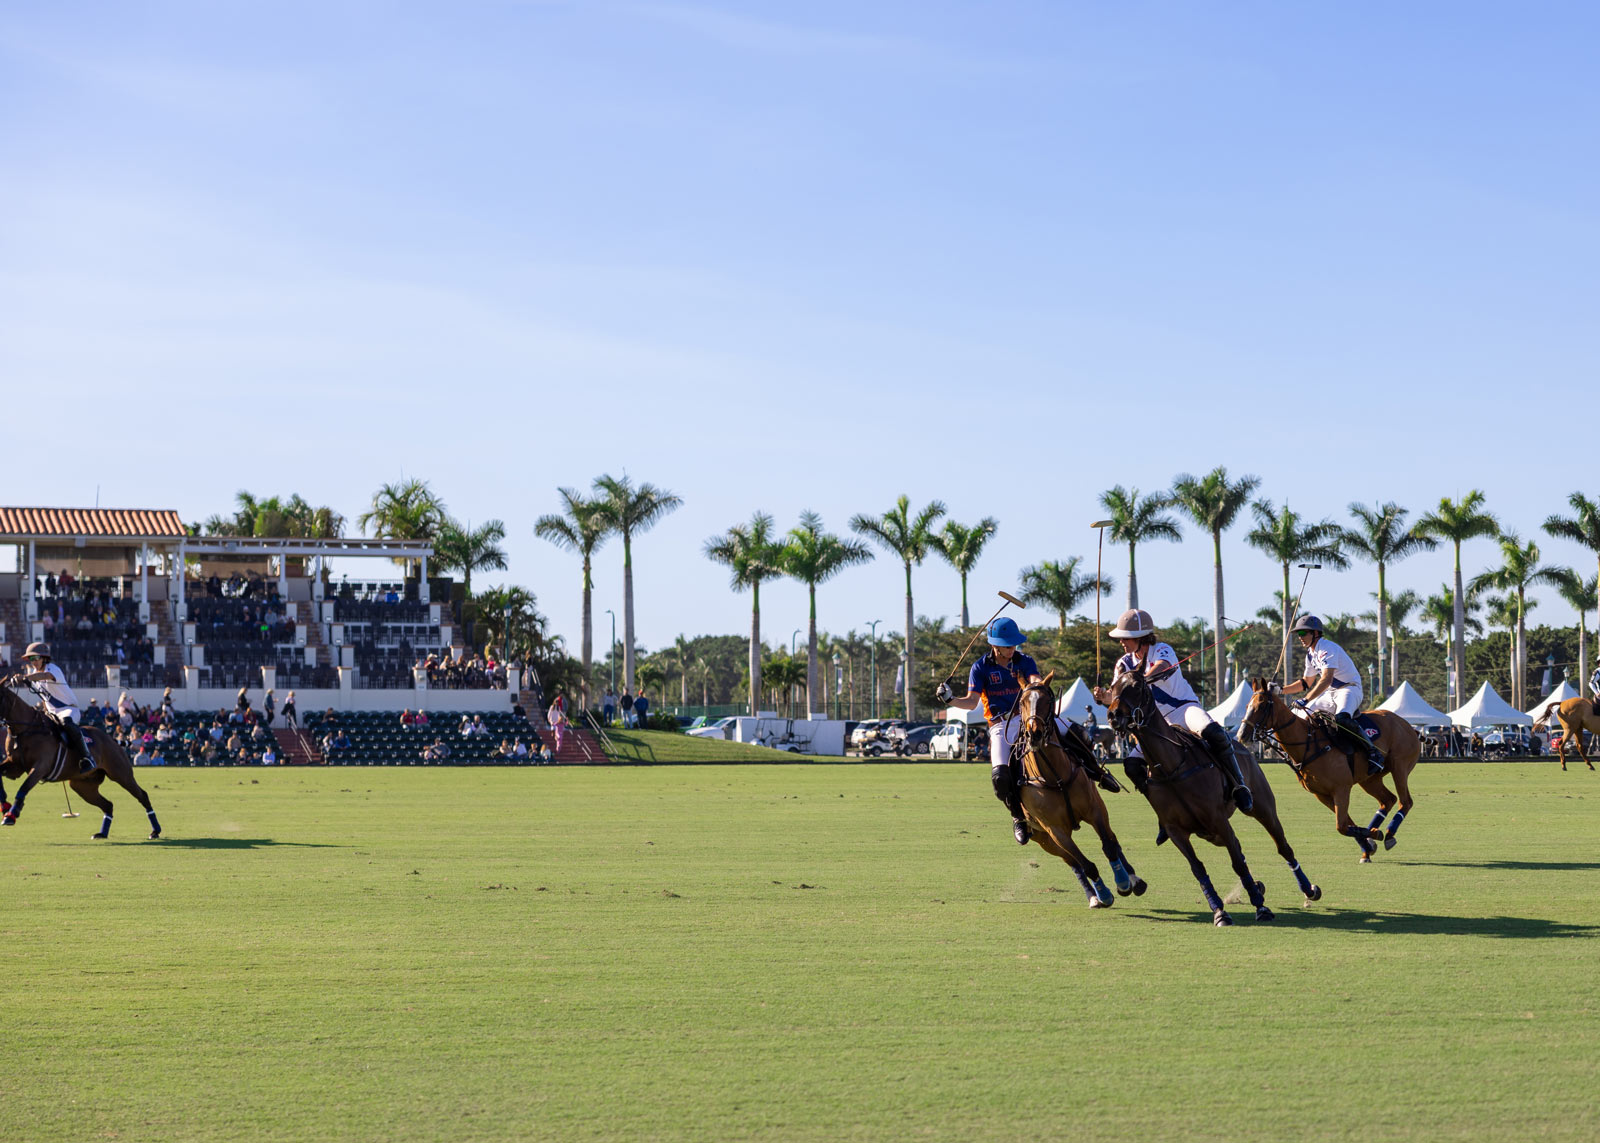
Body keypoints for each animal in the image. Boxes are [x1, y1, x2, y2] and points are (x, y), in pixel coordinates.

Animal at [0, 675, 164, 838]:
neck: (24, 729)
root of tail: (112, 739)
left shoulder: (41, 766)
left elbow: (24, 786)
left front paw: (11, 815)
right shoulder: (15, 765)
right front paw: (5, 806)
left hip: (121, 774)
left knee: (142, 795)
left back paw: (155, 830)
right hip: (82, 786)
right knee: (108, 804)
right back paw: (102, 833)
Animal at [1011, 675, 1152, 909]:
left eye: (1047, 701)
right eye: (1022, 702)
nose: (1034, 734)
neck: (1055, 777)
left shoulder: (1094, 811)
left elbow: (1109, 846)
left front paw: (1123, 884)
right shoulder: (1055, 831)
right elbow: (1085, 865)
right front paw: (1104, 895)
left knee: (1113, 840)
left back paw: (1133, 879)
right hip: (1044, 839)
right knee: (1073, 862)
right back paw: (1093, 896)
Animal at [1107, 662, 1318, 922]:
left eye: (1136, 686)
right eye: (1113, 686)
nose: (1113, 715)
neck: (1172, 768)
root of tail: (1243, 747)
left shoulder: (1217, 819)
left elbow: (1237, 862)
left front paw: (1261, 907)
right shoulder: (1176, 830)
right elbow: (1198, 868)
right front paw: (1219, 910)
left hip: (1262, 808)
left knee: (1282, 846)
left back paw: (1307, 889)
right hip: (1208, 832)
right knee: (1237, 846)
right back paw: (1256, 886)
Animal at [1228, 672, 1420, 858]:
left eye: (1260, 706)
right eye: (1247, 706)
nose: (1241, 735)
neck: (1308, 743)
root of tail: (1408, 725)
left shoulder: (1341, 788)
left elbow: (1341, 826)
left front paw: (1374, 836)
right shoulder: (1320, 794)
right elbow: (1347, 823)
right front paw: (1368, 845)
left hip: (1399, 766)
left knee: (1405, 802)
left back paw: (1388, 834)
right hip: (1369, 779)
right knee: (1388, 800)